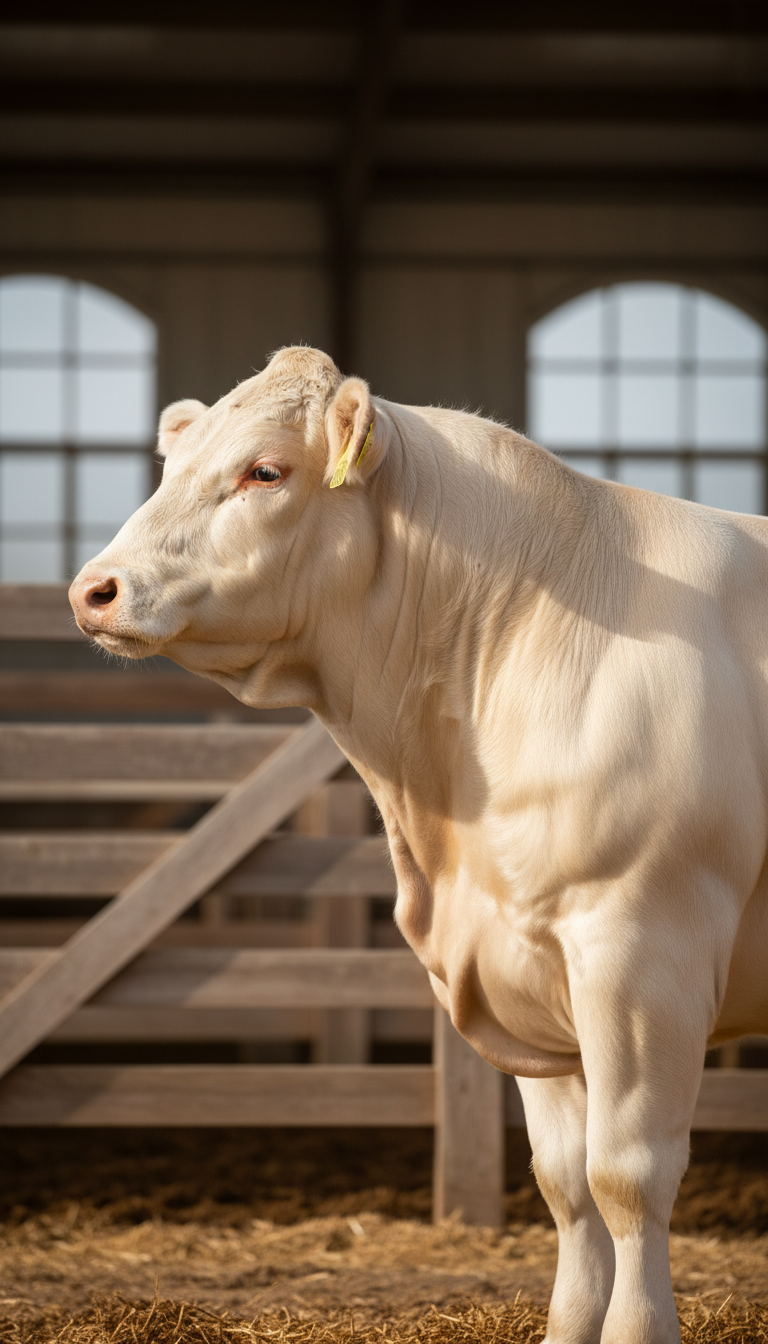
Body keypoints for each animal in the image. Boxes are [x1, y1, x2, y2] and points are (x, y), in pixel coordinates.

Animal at [69, 346, 768, 1344]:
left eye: (266, 470)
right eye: (175, 463)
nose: (94, 589)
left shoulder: (642, 952)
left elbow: (625, 1178)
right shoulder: (527, 969)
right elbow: (566, 1186)